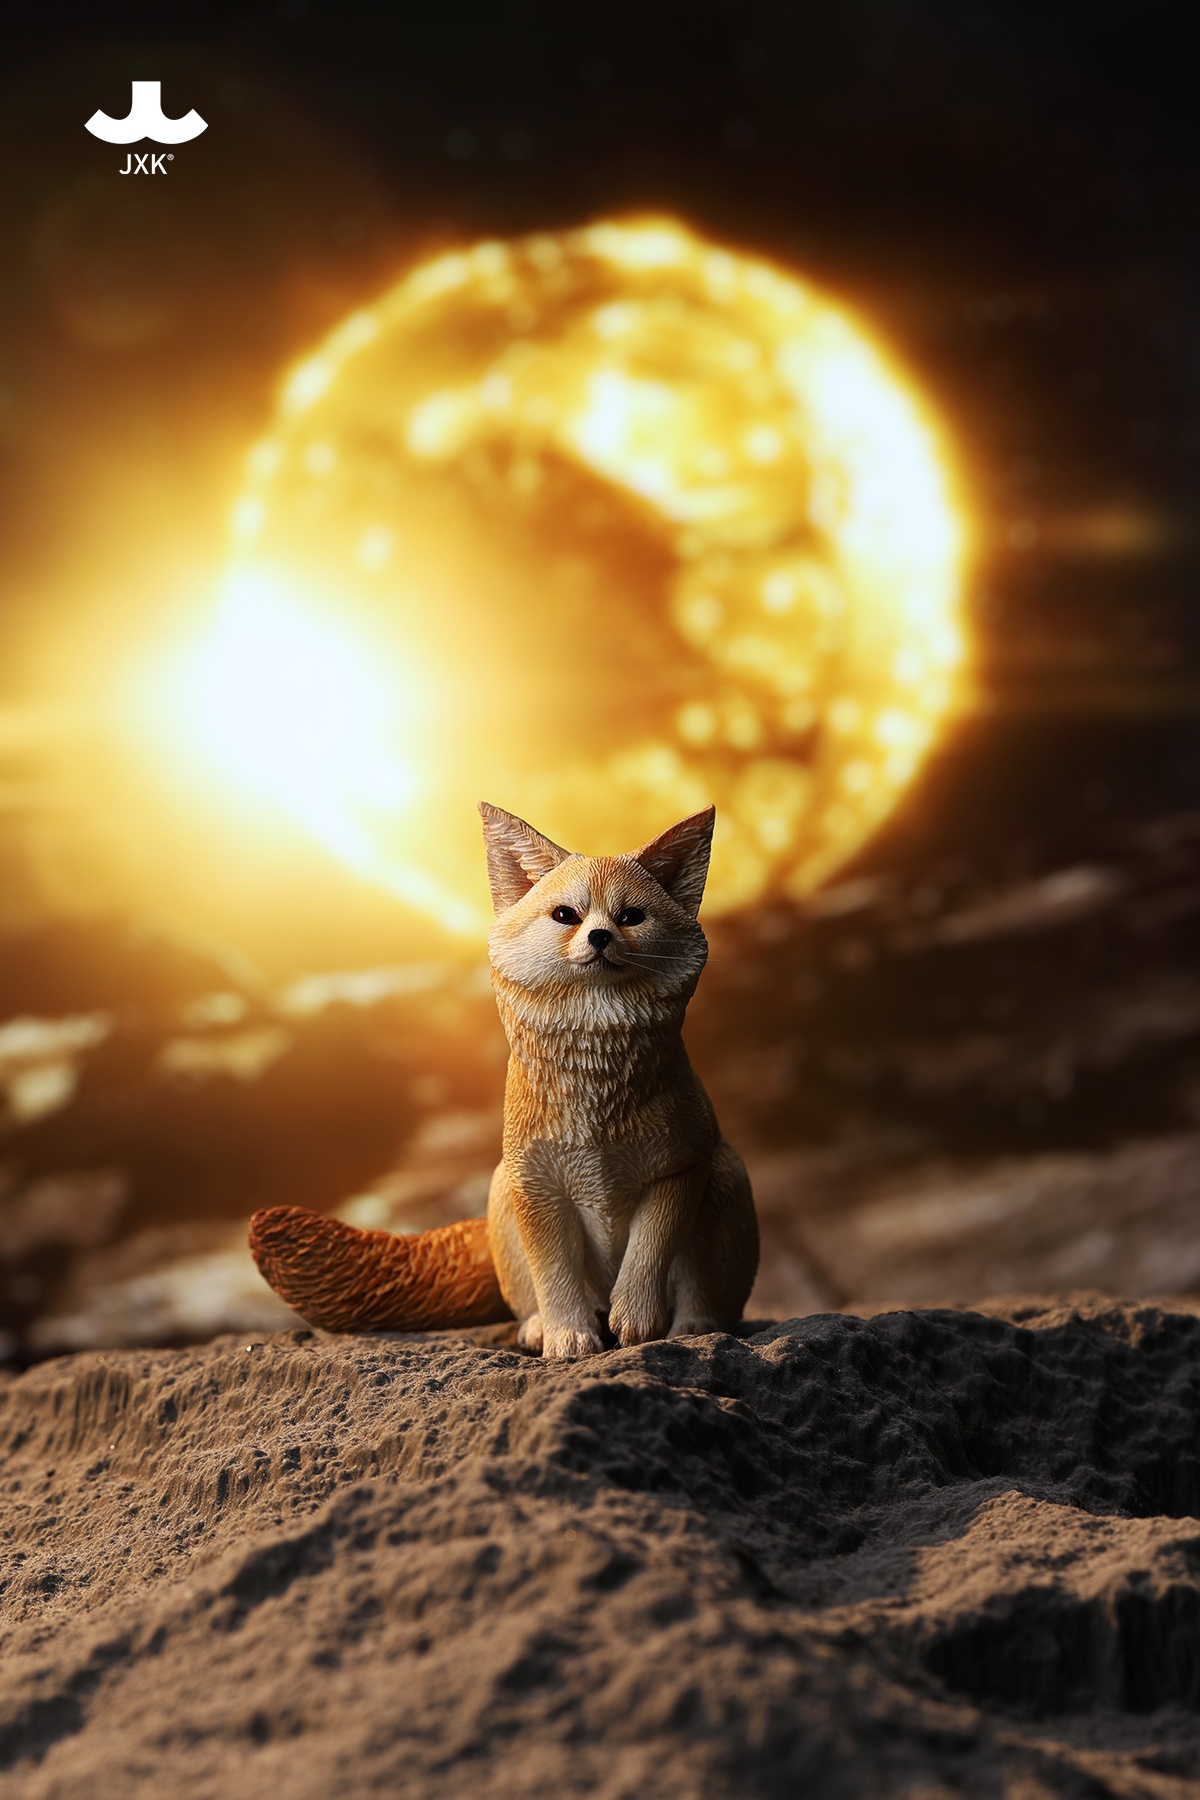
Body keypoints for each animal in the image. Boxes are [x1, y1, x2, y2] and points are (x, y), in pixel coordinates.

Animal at [249, 801, 759, 1358]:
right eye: (566, 915)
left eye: (630, 917)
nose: (600, 936)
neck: (598, 1112)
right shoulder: (535, 1184)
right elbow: (554, 1277)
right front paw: (568, 1337)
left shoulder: (680, 1168)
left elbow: (648, 1254)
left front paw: (638, 1322)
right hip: (501, 1193)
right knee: (533, 1298)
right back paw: (540, 1329)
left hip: (726, 1179)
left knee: (706, 1297)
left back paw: (693, 1328)